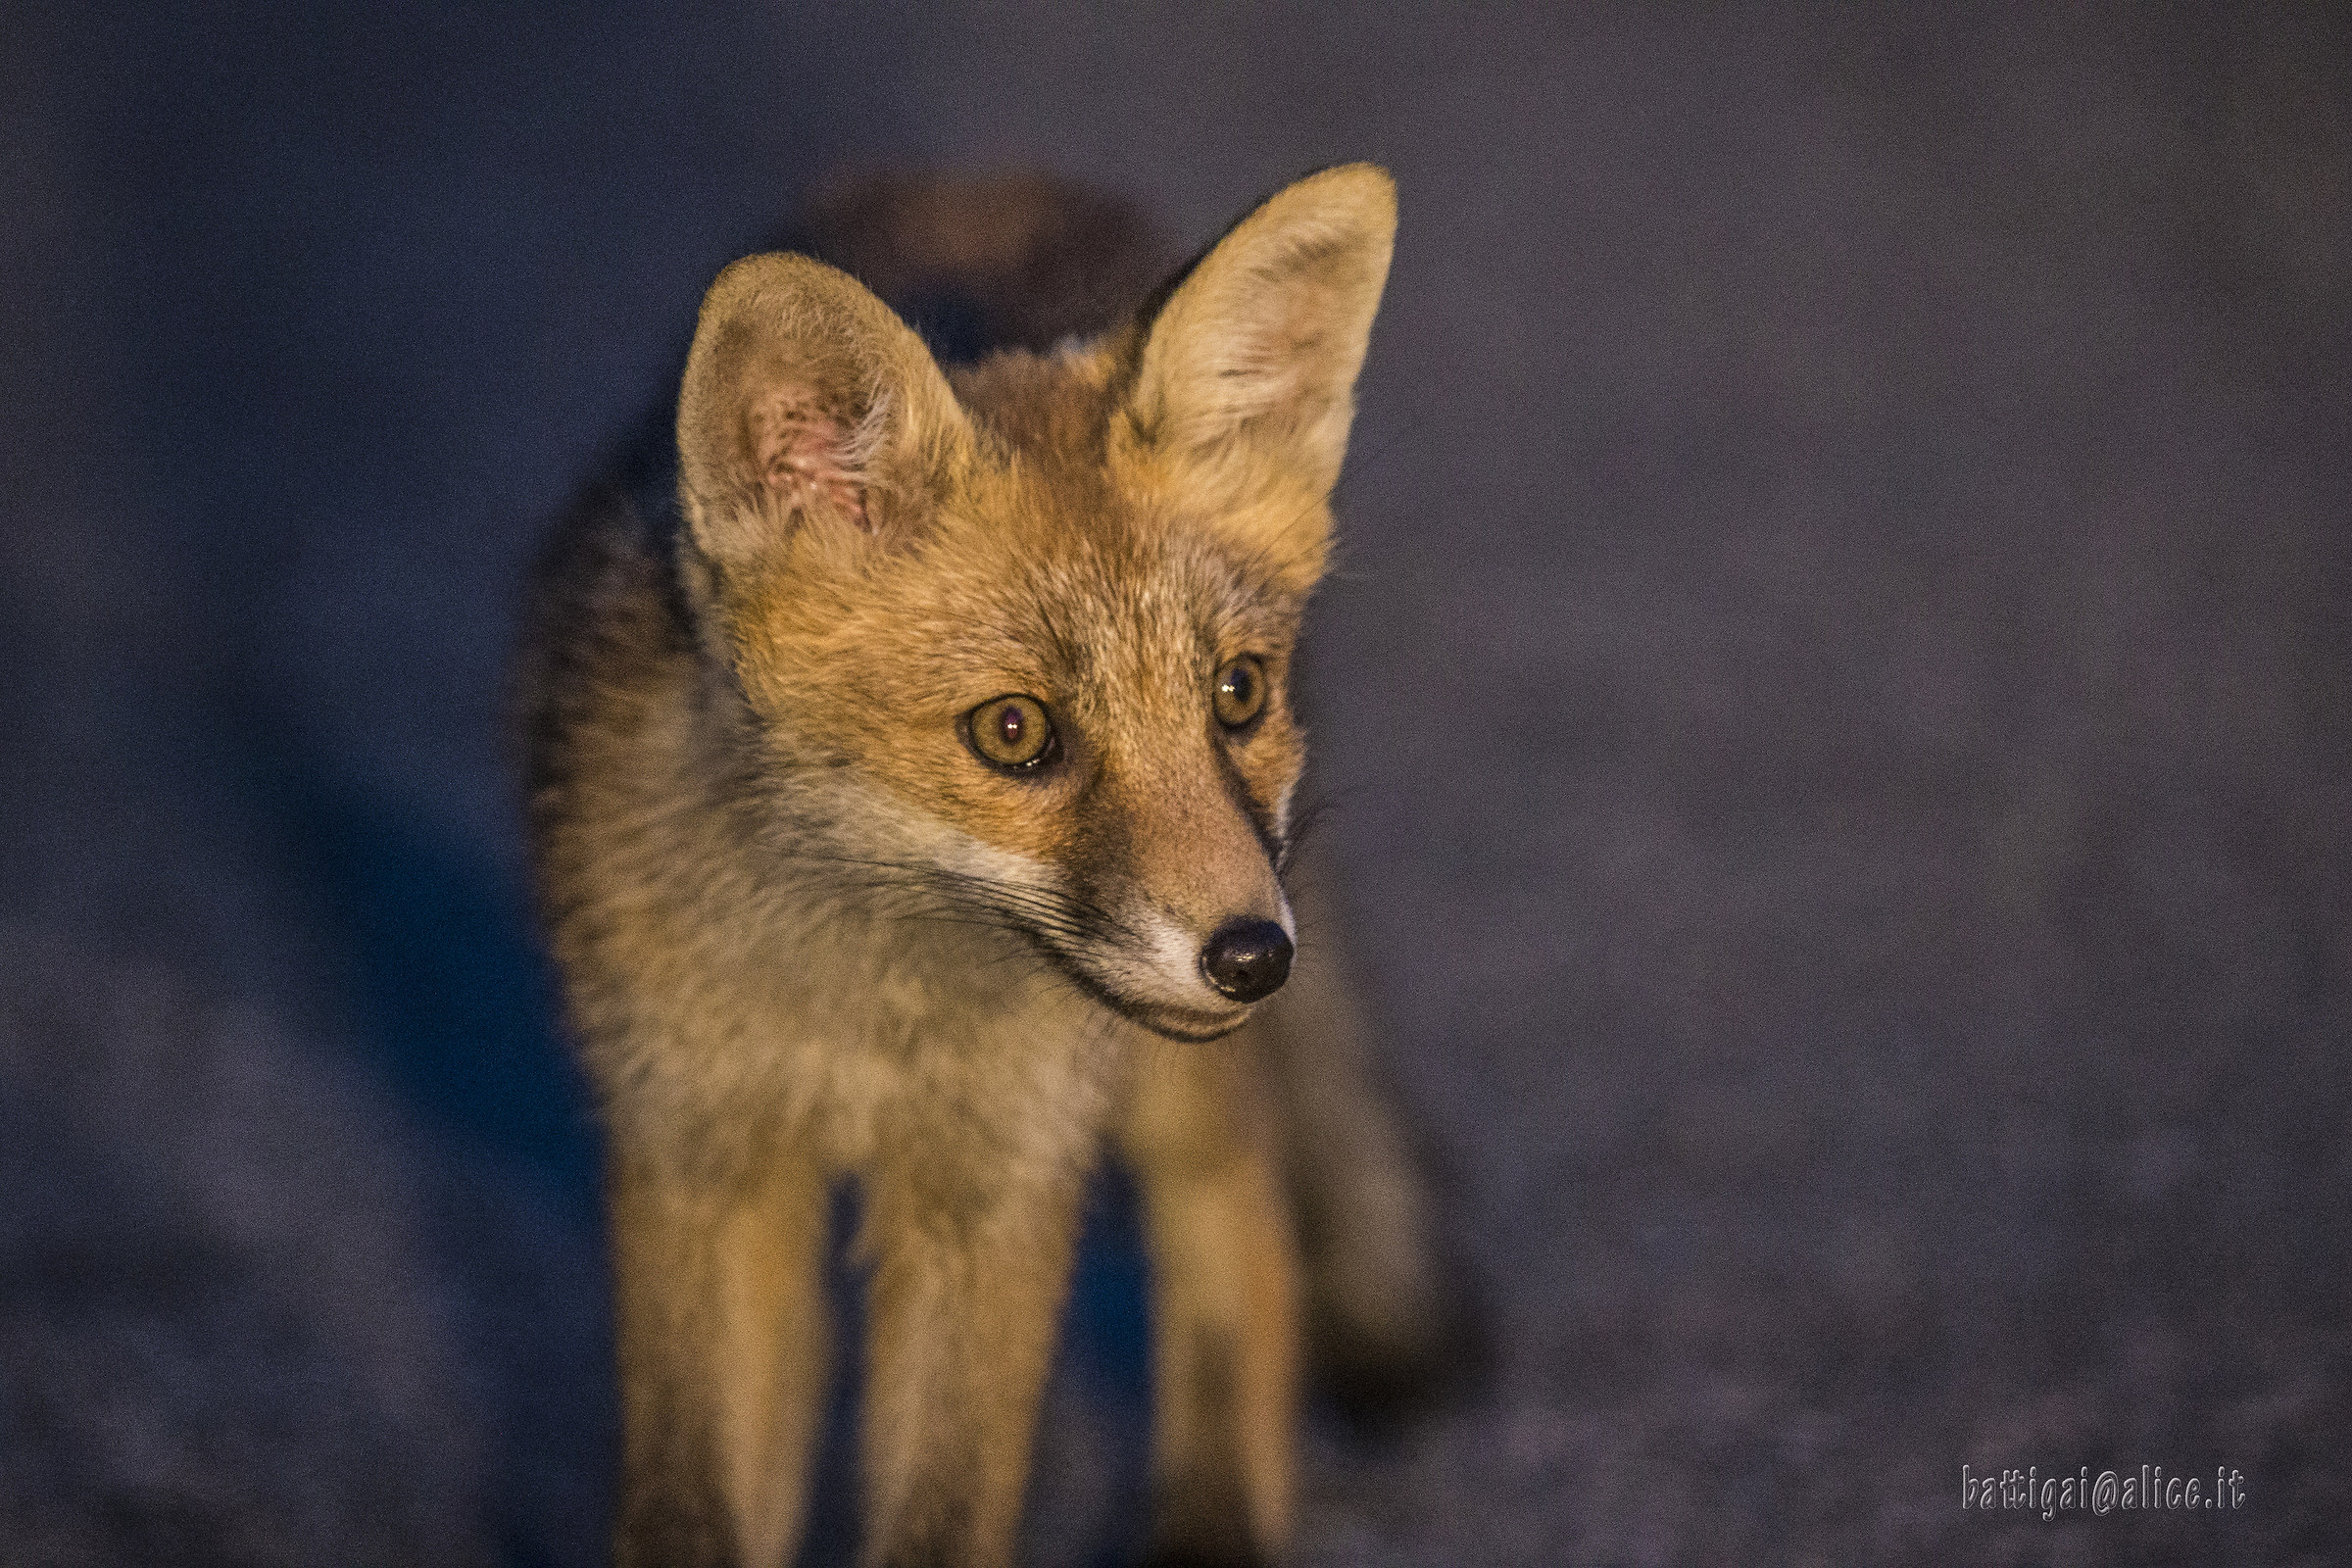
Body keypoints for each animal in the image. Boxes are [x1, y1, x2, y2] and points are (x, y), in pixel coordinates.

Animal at [519, 164, 1462, 1568]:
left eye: (1235, 694)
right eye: (1013, 731)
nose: (1253, 958)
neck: (863, 1008)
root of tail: (995, 185)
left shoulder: (1002, 1186)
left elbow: (945, 1514)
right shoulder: (695, 1155)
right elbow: (697, 1506)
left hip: (1169, 1085)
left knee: (1244, 1225)